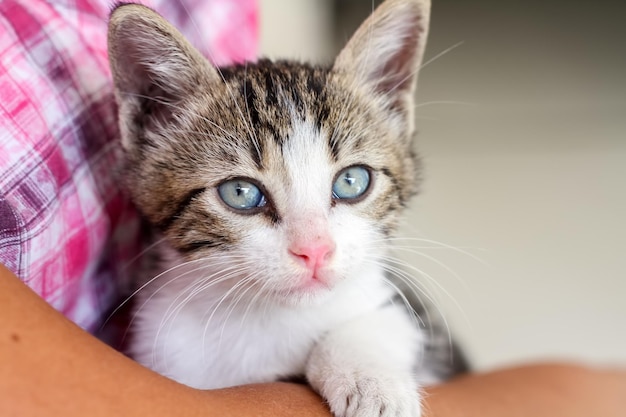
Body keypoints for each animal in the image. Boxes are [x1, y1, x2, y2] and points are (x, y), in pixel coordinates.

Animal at [107, 0, 460, 416]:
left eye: (352, 181)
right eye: (240, 192)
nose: (315, 250)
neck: (268, 318)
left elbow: (375, 324)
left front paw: (372, 382)